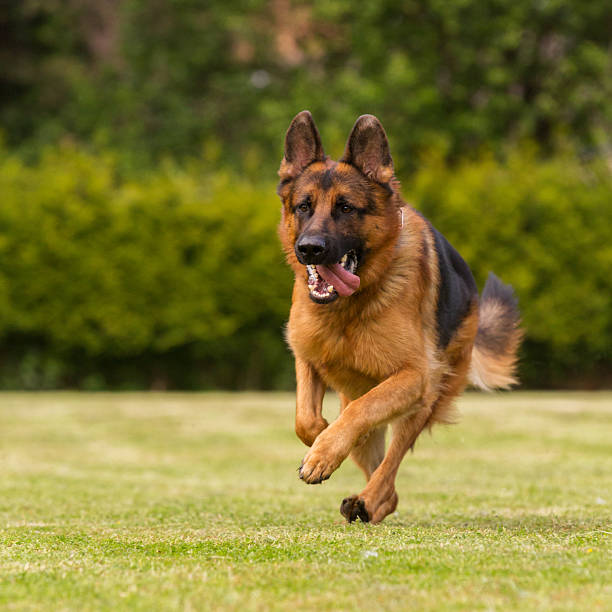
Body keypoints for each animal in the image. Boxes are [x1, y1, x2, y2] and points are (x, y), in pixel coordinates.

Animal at [278, 110, 520, 520]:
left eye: (346, 208)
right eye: (303, 207)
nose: (310, 248)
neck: (350, 308)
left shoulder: (412, 377)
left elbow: (361, 412)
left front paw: (323, 453)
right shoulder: (307, 356)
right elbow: (306, 420)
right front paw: (321, 441)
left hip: (425, 398)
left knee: (390, 466)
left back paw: (369, 500)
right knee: (377, 462)